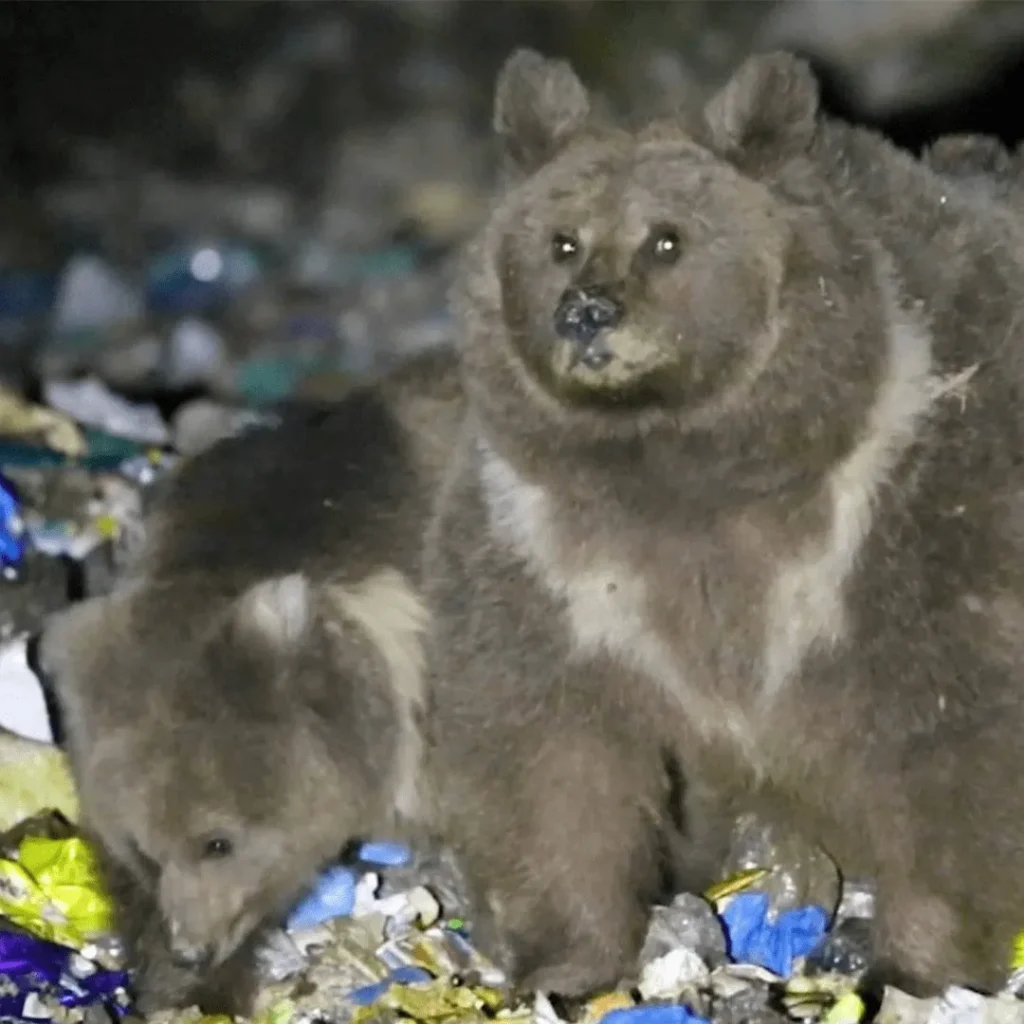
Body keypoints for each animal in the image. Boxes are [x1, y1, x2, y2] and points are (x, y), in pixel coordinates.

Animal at [422, 46, 1024, 1004]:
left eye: (668, 239)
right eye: (561, 241)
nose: (586, 312)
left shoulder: (912, 520)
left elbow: (951, 744)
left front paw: (912, 964)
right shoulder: (548, 558)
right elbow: (548, 758)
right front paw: (563, 965)